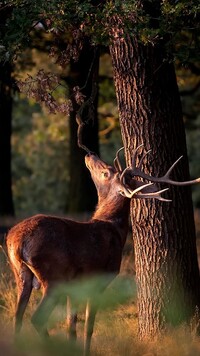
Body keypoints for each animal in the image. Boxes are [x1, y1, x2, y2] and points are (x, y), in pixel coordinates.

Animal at [5, 143, 199, 354]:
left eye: (107, 171)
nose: (90, 154)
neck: (115, 228)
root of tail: (17, 242)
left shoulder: (75, 285)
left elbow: (71, 324)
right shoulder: (101, 277)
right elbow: (89, 325)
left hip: (21, 274)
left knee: (17, 318)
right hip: (53, 276)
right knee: (37, 318)